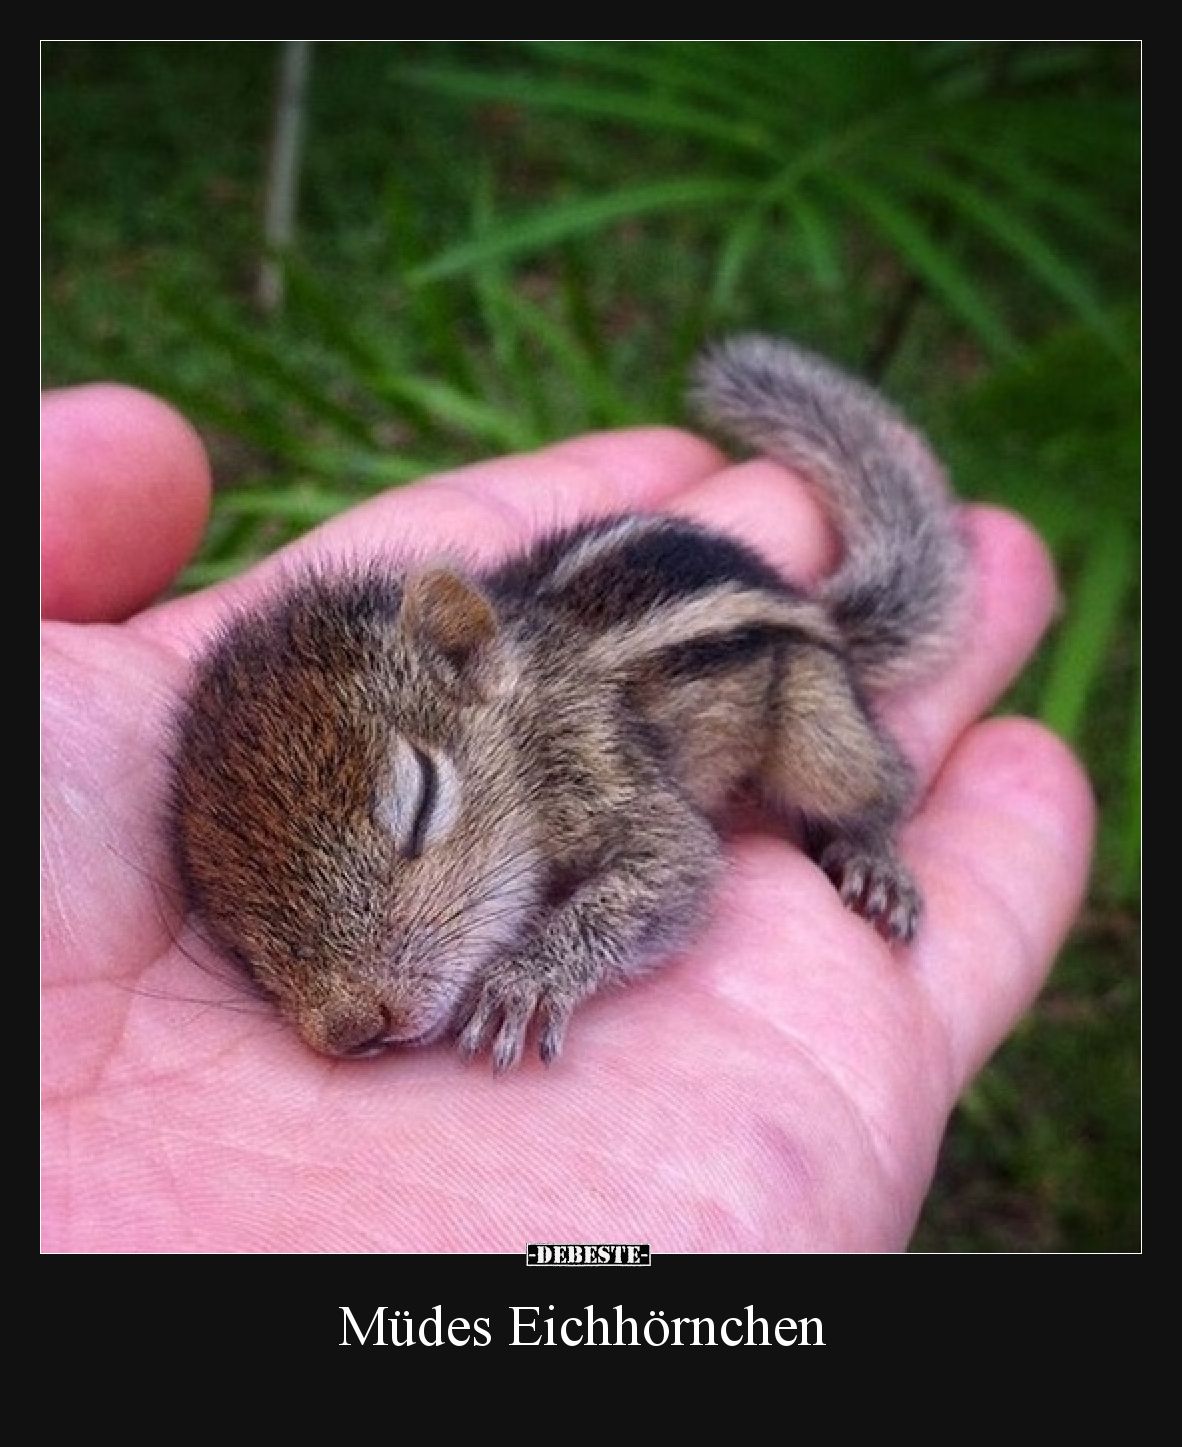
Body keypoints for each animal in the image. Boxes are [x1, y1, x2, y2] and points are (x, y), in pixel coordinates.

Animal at [169, 335, 965, 1072]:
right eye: (230, 927)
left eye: (422, 804)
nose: (352, 1027)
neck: (528, 715)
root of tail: (813, 605)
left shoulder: (605, 773)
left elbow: (675, 868)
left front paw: (526, 979)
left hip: (817, 726)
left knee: (882, 781)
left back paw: (873, 857)